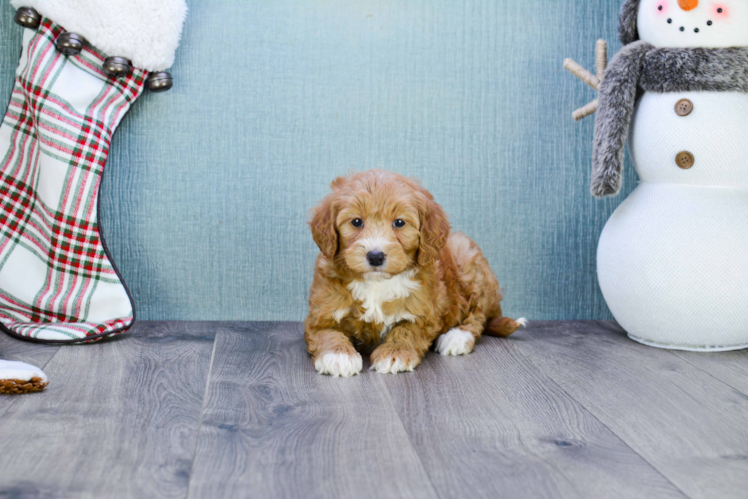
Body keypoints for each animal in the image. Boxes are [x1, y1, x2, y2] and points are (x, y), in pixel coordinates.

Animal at [304, 170, 524, 376]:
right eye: (356, 222)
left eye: (399, 223)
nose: (375, 256)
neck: (377, 282)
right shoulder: (320, 314)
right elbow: (327, 332)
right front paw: (338, 356)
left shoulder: (426, 313)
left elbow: (407, 330)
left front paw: (395, 354)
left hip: (467, 257)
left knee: (478, 315)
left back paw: (457, 337)